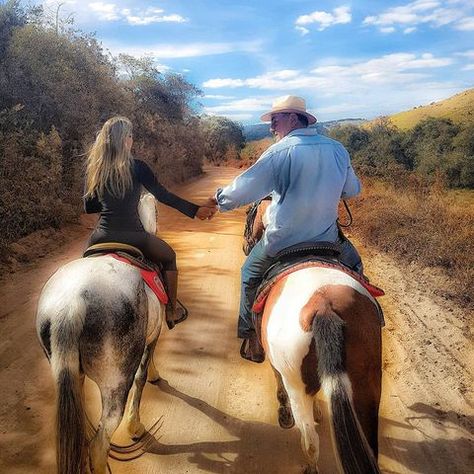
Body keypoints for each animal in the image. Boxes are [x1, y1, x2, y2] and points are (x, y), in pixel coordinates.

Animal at [36, 193, 165, 474]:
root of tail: (71, 302)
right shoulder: (153, 337)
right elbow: (141, 376)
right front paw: (135, 426)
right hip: (114, 383)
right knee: (98, 444)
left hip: (69, 374)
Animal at [244, 201, 382, 474]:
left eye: (248, 215)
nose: (246, 245)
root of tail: (323, 305)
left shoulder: (278, 366)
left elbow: (277, 380)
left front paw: (285, 412)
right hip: (368, 385)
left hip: (296, 383)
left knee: (309, 441)